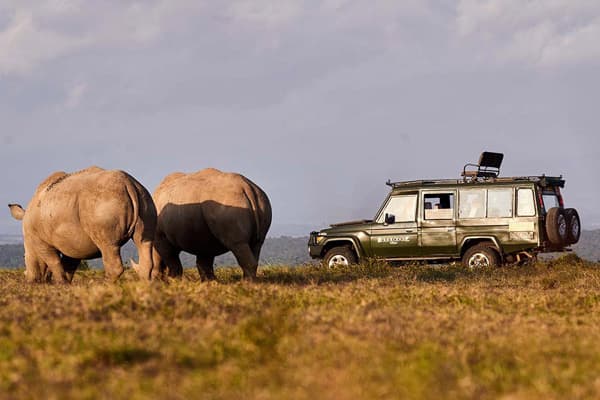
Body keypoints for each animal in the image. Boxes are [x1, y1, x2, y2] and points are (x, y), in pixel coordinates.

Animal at [8, 167, 156, 282]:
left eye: (24, 257)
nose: (30, 281)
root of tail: (128, 183)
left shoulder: (40, 241)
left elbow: (54, 262)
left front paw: (60, 284)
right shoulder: (71, 242)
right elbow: (68, 266)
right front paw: (66, 285)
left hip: (102, 203)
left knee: (108, 246)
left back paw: (104, 287)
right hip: (144, 198)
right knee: (144, 242)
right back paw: (144, 286)